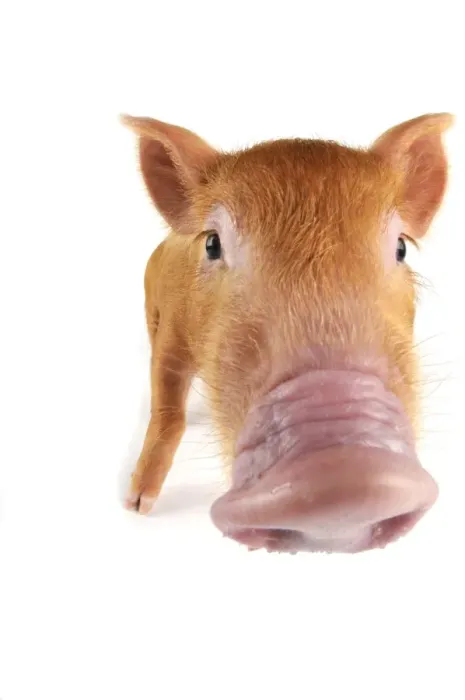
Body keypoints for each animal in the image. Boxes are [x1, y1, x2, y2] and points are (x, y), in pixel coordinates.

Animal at [121, 112, 453, 554]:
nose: (349, 471)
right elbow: (167, 413)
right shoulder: (169, 335)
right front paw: (136, 506)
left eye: (400, 247)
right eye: (212, 244)